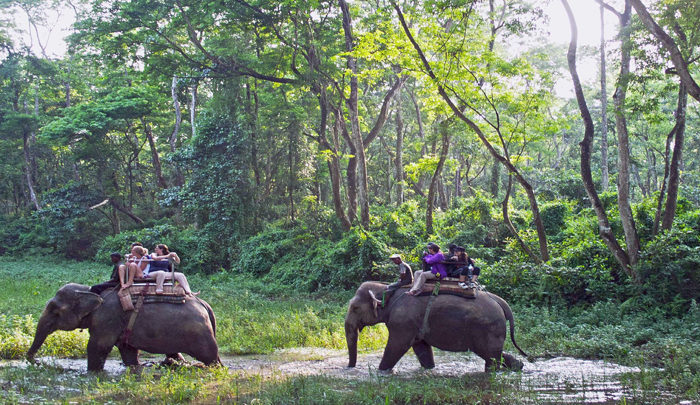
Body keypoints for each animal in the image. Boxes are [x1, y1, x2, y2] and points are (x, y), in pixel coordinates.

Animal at [27, 282, 219, 370]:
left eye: (54, 310)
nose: (36, 361)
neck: (90, 291)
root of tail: (205, 304)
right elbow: (128, 351)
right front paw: (135, 367)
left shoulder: (107, 319)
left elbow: (98, 346)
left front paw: (92, 373)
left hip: (200, 334)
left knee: (211, 357)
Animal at [342, 280, 528, 372]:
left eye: (355, 308)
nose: (349, 367)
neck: (386, 288)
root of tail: (499, 301)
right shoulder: (412, 324)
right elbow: (421, 346)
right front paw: (429, 368)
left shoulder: (402, 321)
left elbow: (397, 346)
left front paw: (382, 371)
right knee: (495, 354)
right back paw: (519, 367)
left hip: (488, 328)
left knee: (491, 357)